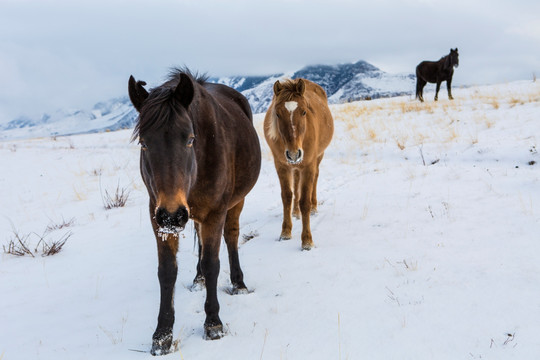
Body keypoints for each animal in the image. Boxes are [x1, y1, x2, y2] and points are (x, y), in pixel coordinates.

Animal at [127, 68, 260, 354]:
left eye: (189, 139)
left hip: (235, 203)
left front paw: (213, 324)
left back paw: (239, 283)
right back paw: (198, 280)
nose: (172, 214)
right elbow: (167, 271)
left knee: (231, 238)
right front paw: (162, 335)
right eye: (143, 143)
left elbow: (212, 263)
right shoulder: (158, 218)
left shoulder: (215, 213)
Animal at [262, 79, 334, 250]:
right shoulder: (281, 165)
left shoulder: (308, 165)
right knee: (296, 183)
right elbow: (287, 196)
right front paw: (285, 232)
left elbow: (305, 201)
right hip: (293, 165)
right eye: (277, 113)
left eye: (304, 112)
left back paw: (314, 208)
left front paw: (307, 241)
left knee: (315, 179)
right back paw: (295, 212)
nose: (294, 153)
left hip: (317, 158)